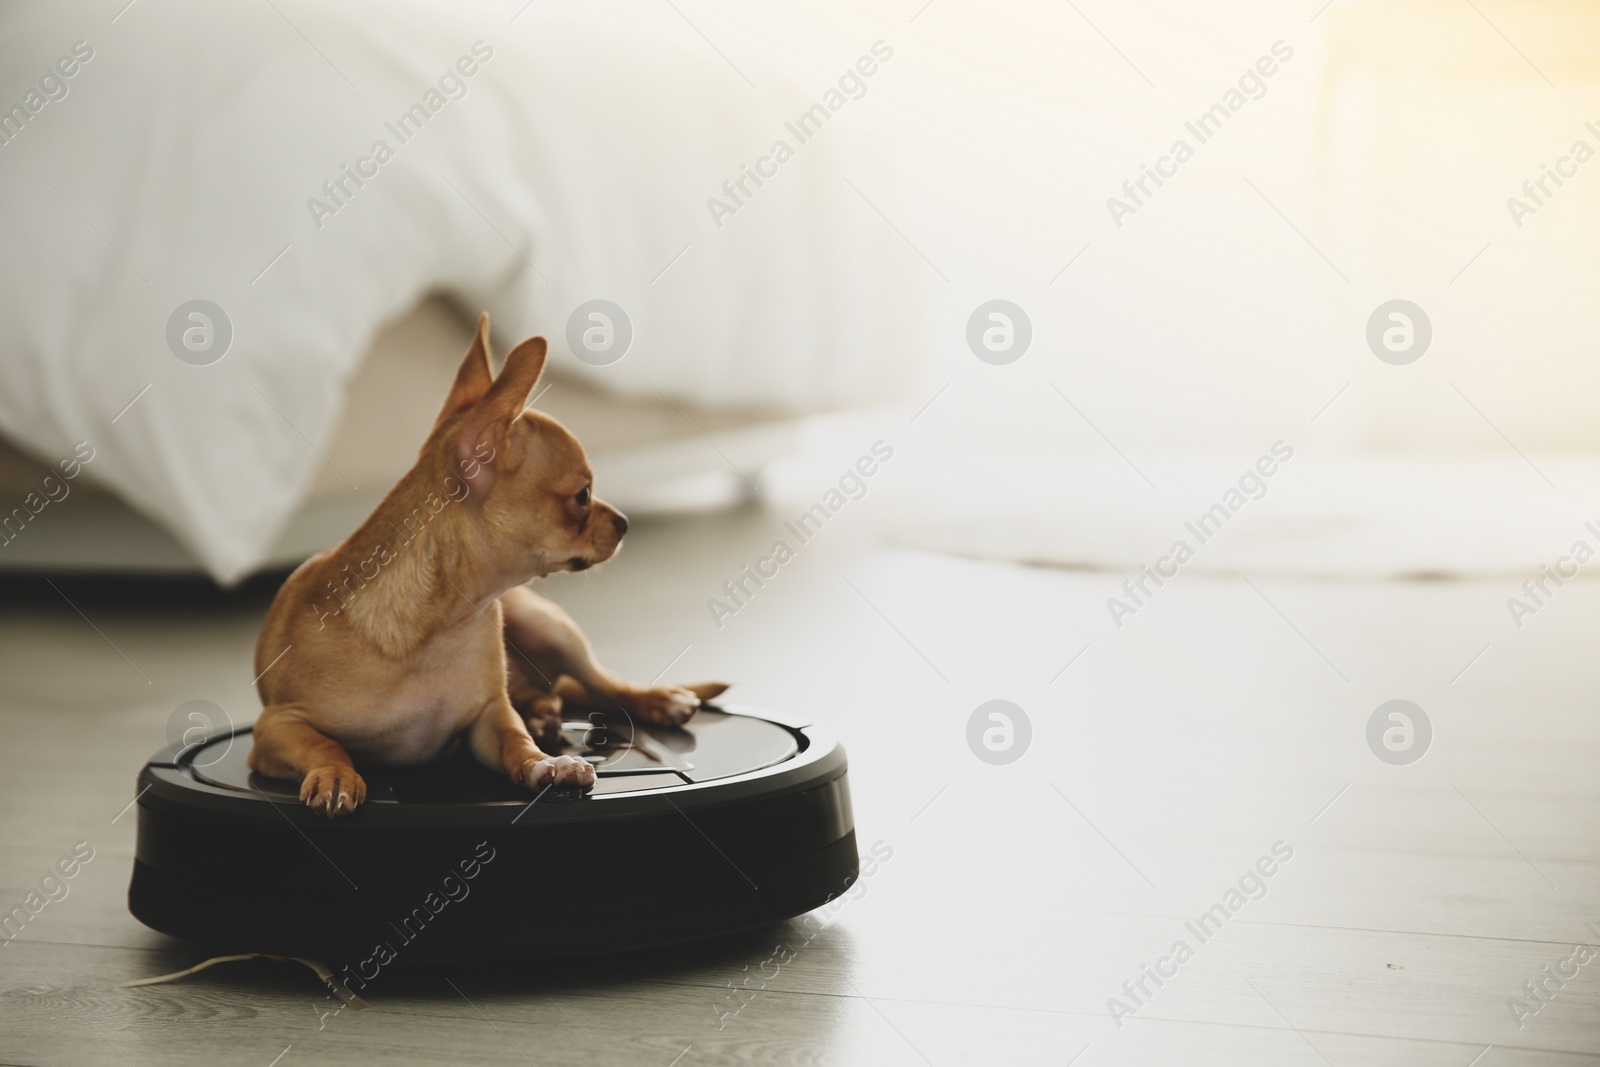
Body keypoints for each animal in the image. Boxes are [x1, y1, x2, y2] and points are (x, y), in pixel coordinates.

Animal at [248, 315, 726, 819]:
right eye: (582, 496)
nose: (625, 522)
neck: (445, 623)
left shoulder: (488, 717)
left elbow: (516, 742)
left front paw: (546, 763)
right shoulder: (276, 725)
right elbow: (326, 745)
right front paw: (337, 775)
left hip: (551, 627)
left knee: (604, 684)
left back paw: (658, 701)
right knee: (557, 693)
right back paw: (542, 708)